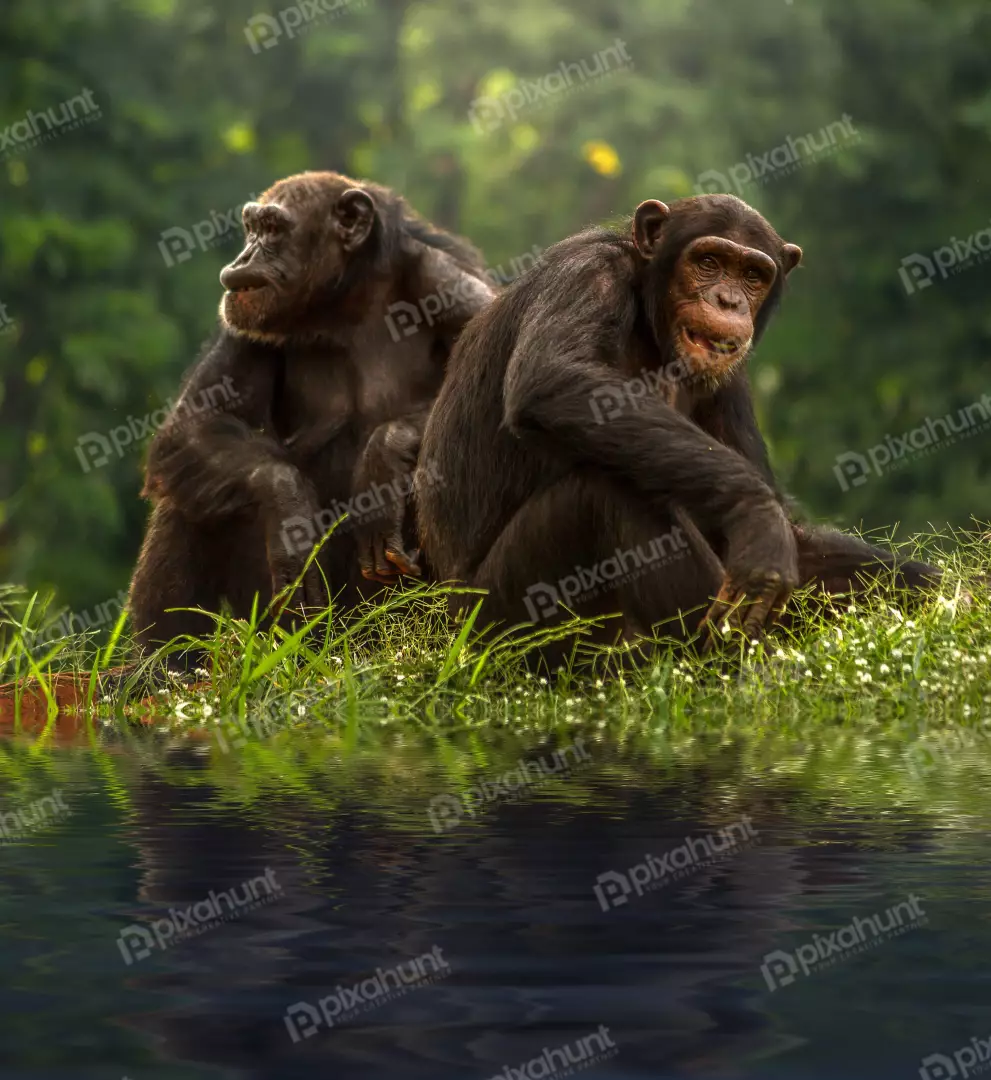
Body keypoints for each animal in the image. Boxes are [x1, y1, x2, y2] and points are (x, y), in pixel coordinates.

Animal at [127, 169, 496, 656]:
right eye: (252, 227)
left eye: (274, 229)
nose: (244, 255)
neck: (348, 299)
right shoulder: (241, 319)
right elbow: (193, 423)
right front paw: (289, 506)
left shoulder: (453, 286)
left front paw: (383, 455)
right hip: (272, 622)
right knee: (188, 492)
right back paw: (164, 661)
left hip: (383, 624)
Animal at [414, 193, 941, 648]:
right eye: (708, 262)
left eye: (753, 274)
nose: (729, 301)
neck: (652, 324)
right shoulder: (589, 272)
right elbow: (554, 380)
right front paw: (758, 515)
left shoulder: (731, 381)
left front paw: (929, 587)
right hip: (501, 628)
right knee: (607, 495)